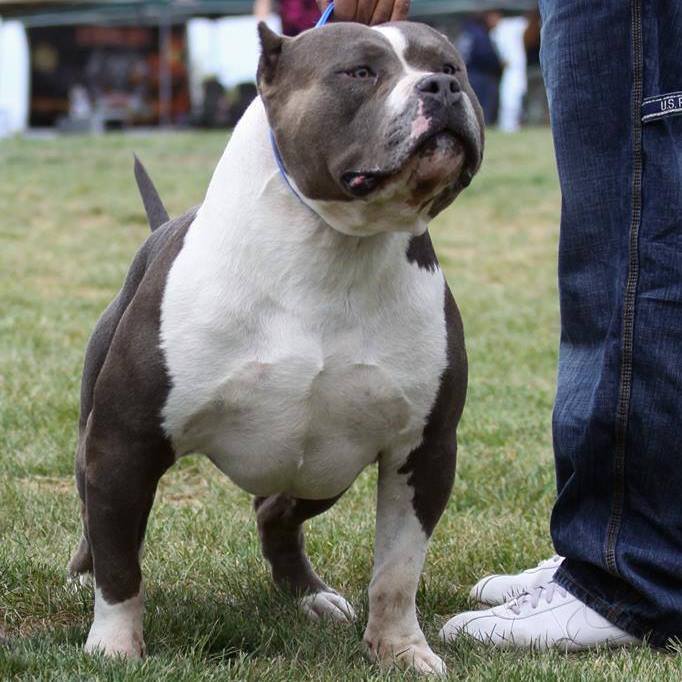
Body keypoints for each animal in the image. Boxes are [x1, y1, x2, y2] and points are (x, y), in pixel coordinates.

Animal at [67, 20, 483, 674]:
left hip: (323, 469)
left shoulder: (424, 449)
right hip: (96, 440)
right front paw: (114, 646)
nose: (441, 87)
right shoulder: (124, 443)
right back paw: (84, 575)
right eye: (359, 72)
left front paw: (400, 650)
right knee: (99, 523)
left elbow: (398, 570)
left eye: (450, 66)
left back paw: (310, 596)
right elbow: (119, 561)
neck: (332, 250)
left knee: (275, 516)